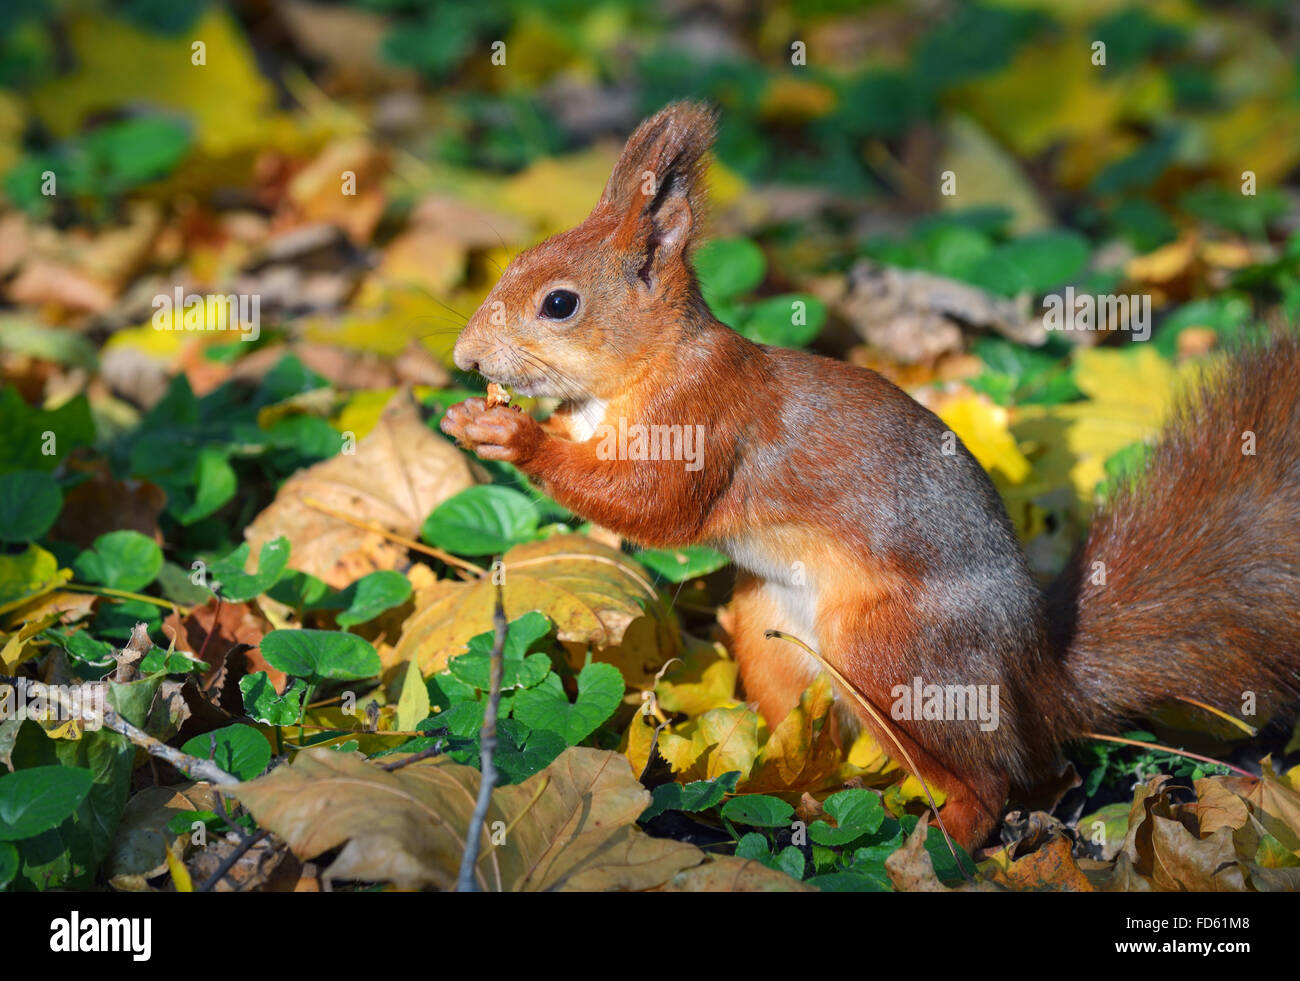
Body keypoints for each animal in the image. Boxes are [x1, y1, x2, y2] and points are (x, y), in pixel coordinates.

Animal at [441, 101, 1300, 852]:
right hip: (769, 626)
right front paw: (476, 421)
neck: (639, 370)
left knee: (993, 779)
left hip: (893, 653)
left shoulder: (705, 419)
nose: (464, 358)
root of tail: (1036, 678)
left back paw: (937, 844)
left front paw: (516, 435)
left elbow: (654, 505)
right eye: (514, 265)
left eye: (560, 303)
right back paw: (790, 790)